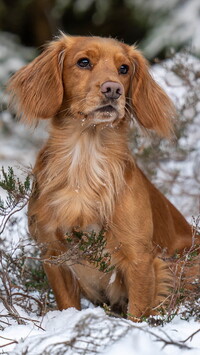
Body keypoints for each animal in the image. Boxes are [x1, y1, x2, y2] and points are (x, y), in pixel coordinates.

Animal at [7, 34, 198, 322]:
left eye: (124, 69)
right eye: (83, 62)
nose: (113, 89)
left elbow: (138, 314)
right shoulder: (53, 253)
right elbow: (67, 305)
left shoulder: (140, 258)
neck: (85, 159)